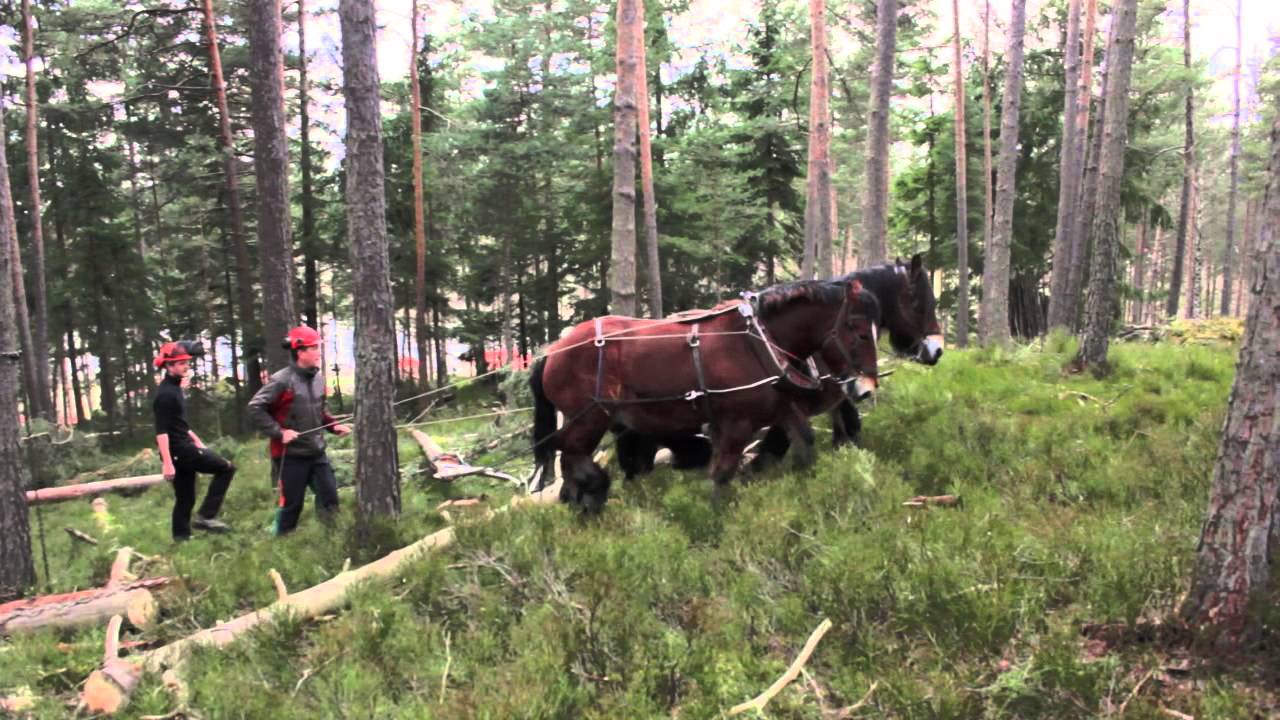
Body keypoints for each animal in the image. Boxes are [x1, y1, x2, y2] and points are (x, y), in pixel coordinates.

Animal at [528, 279, 880, 511]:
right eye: (860, 332)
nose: (865, 388)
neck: (756, 341)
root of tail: (553, 350)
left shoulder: (775, 408)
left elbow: (803, 442)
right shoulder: (737, 422)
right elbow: (722, 473)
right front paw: (717, 517)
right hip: (589, 419)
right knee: (570, 457)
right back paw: (590, 501)